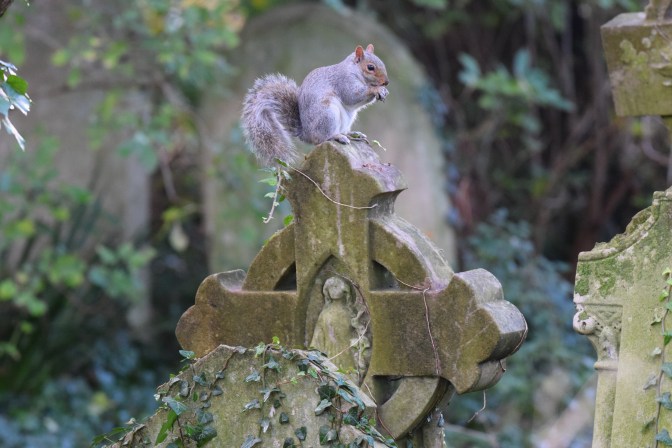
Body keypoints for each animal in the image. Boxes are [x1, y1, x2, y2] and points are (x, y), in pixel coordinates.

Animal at [241, 44, 389, 167]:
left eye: (383, 63)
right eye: (370, 67)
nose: (386, 82)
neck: (354, 70)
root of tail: (306, 134)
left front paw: (383, 91)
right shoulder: (344, 81)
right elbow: (352, 96)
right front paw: (376, 89)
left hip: (347, 118)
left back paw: (352, 134)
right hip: (327, 114)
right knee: (321, 139)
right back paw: (337, 137)